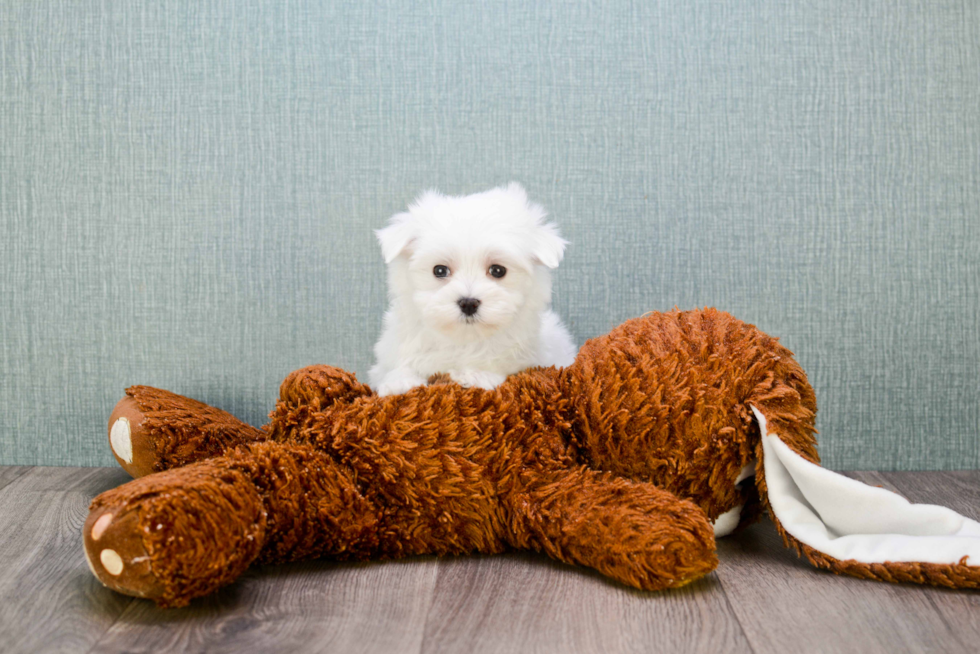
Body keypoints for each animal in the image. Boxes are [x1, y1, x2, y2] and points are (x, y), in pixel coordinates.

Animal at [372, 182, 580, 398]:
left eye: (498, 270)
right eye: (439, 270)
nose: (468, 303)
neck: (463, 340)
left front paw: (475, 375)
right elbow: (396, 365)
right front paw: (398, 382)